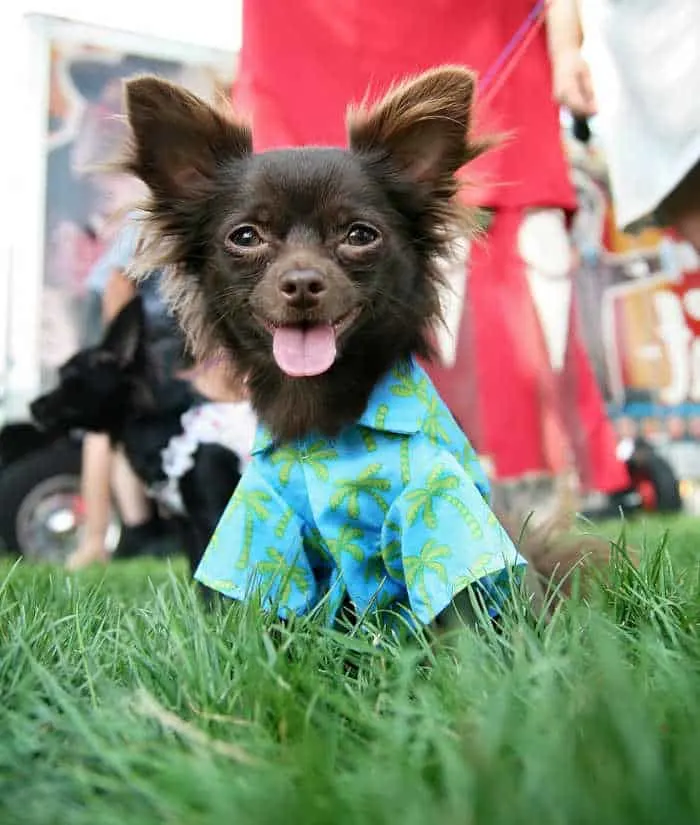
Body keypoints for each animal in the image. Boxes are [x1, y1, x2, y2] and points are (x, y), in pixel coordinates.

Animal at [117, 67, 616, 632]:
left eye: (359, 235)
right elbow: (259, 616)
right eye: (245, 237)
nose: (302, 282)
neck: (319, 410)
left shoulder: (438, 500)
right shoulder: (263, 521)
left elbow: (460, 611)